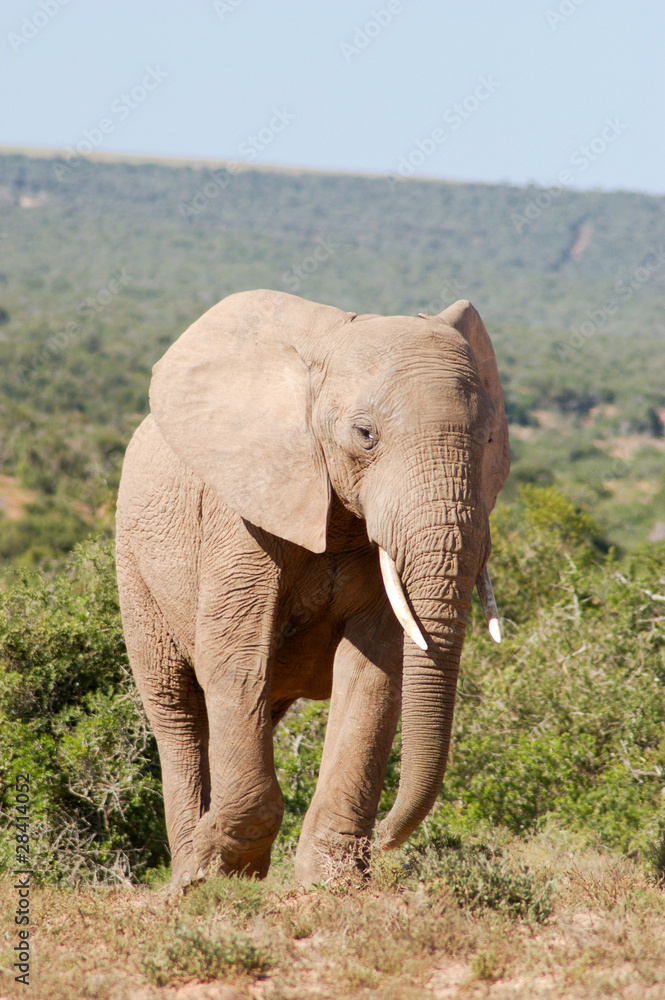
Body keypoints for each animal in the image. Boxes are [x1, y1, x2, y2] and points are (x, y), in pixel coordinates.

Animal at [115, 286, 508, 888]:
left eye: (489, 438)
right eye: (365, 435)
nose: (389, 838)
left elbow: (374, 669)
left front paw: (332, 883)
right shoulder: (243, 512)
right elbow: (234, 659)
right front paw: (218, 872)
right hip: (135, 567)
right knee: (177, 708)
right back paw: (185, 874)